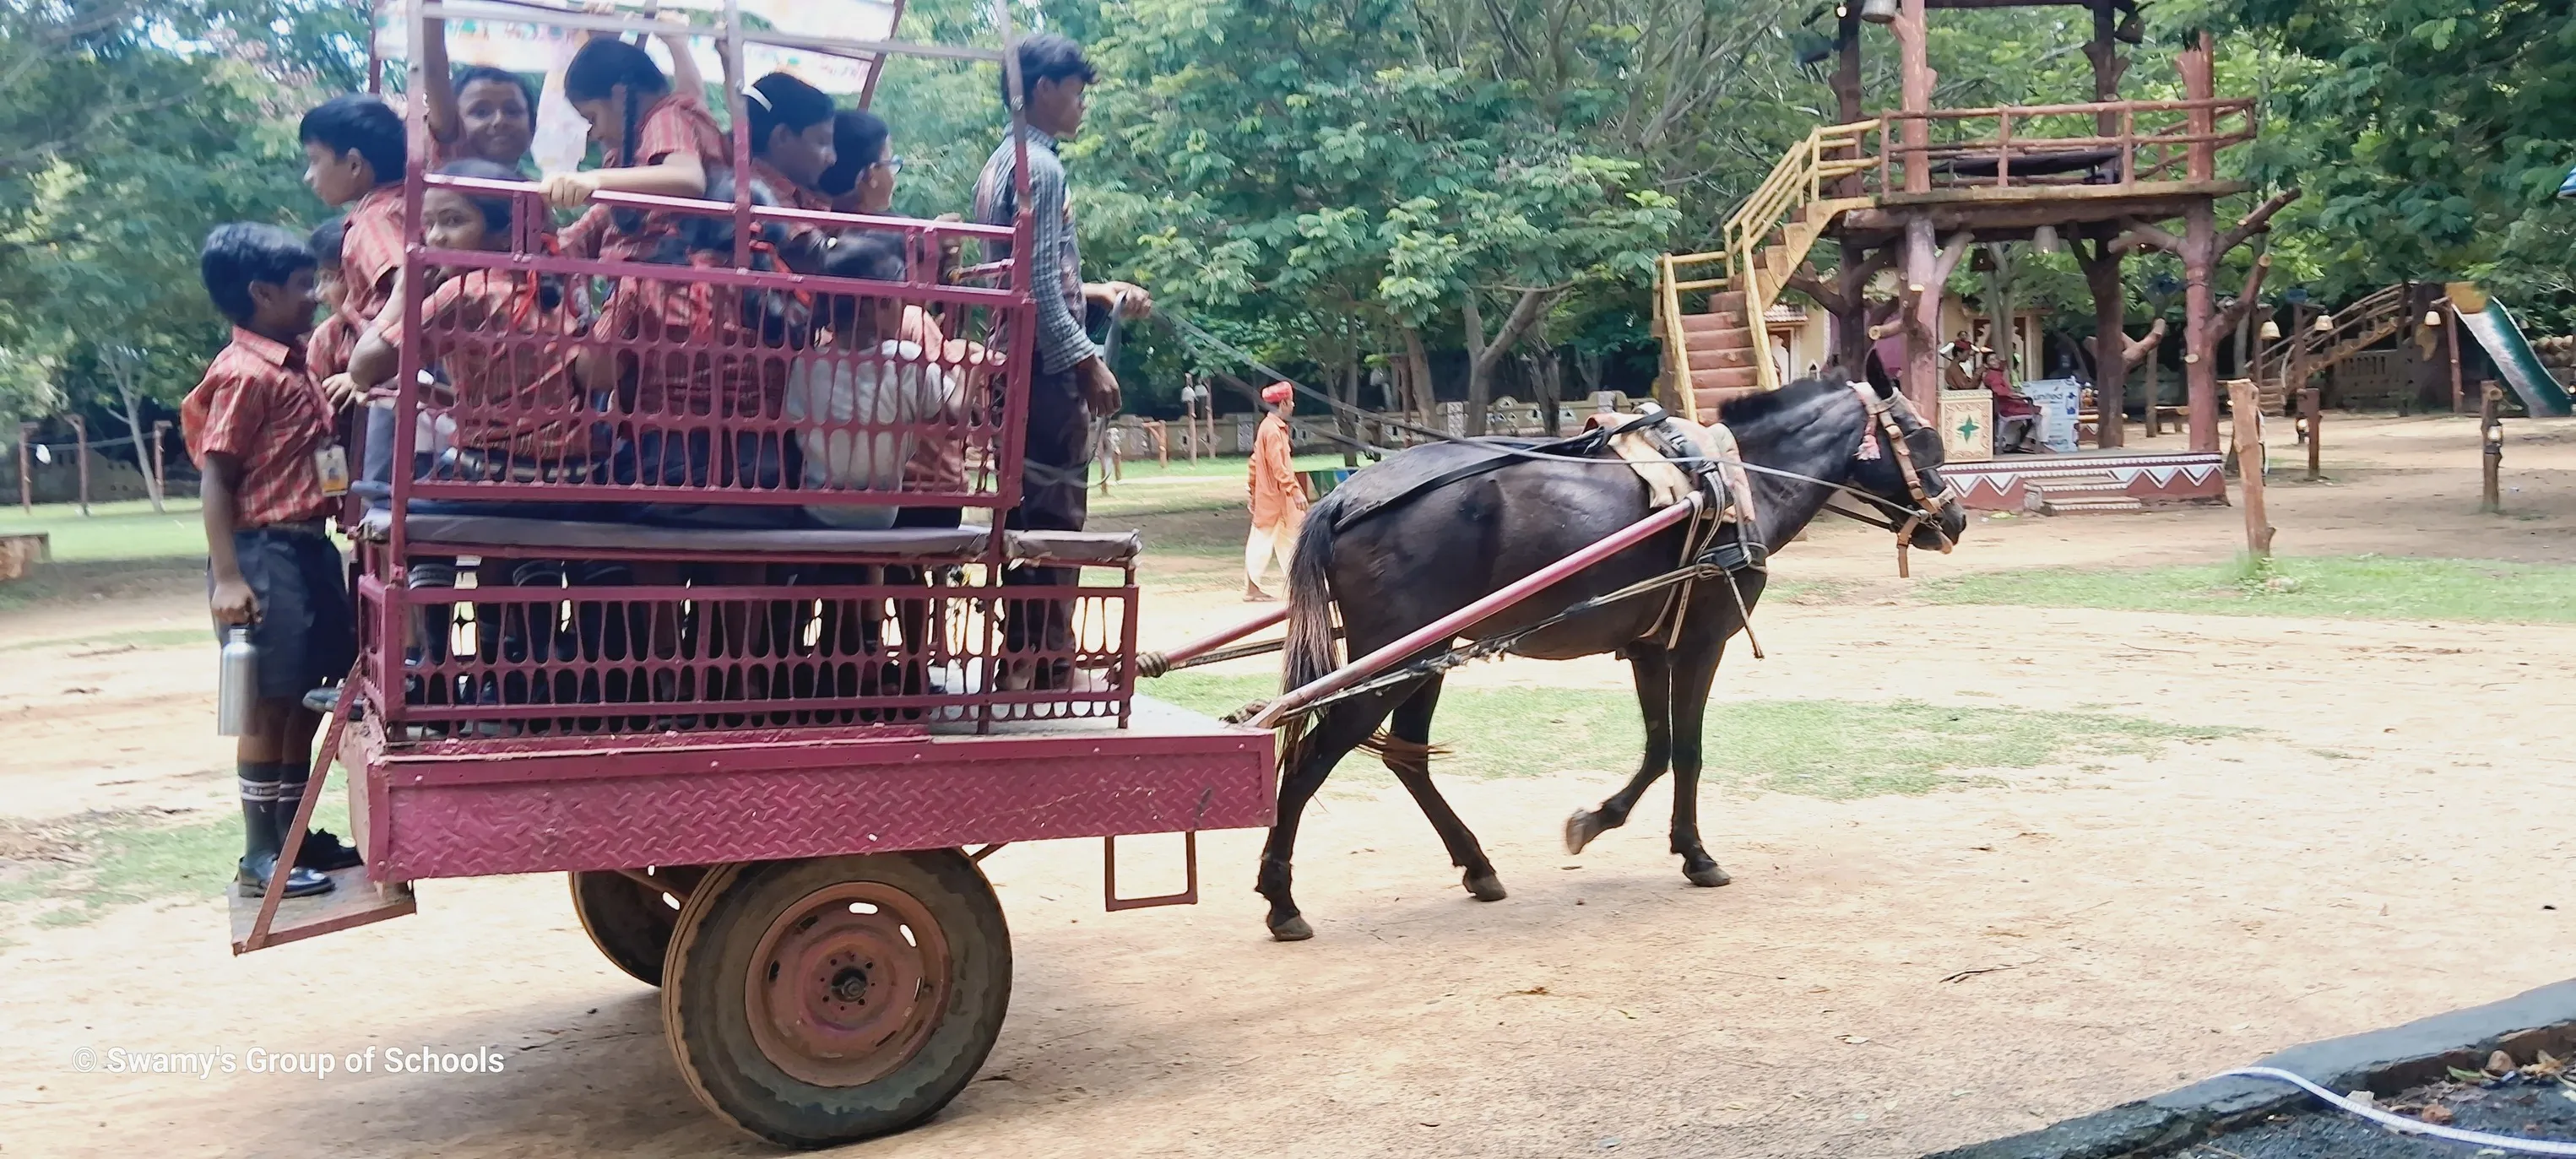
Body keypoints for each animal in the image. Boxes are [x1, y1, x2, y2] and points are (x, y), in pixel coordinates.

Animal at [1256, 376, 1957, 937]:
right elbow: (1686, 750)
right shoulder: (1701, 642)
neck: (1735, 479)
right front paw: (1692, 852)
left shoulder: (1650, 646)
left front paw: (1602, 821)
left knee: (1406, 756)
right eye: (1923, 439)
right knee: (1311, 756)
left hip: (1426, 657)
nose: (1953, 519)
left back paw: (1476, 865)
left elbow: (1657, 748)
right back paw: (1280, 896)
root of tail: (1344, 497)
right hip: (1392, 660)